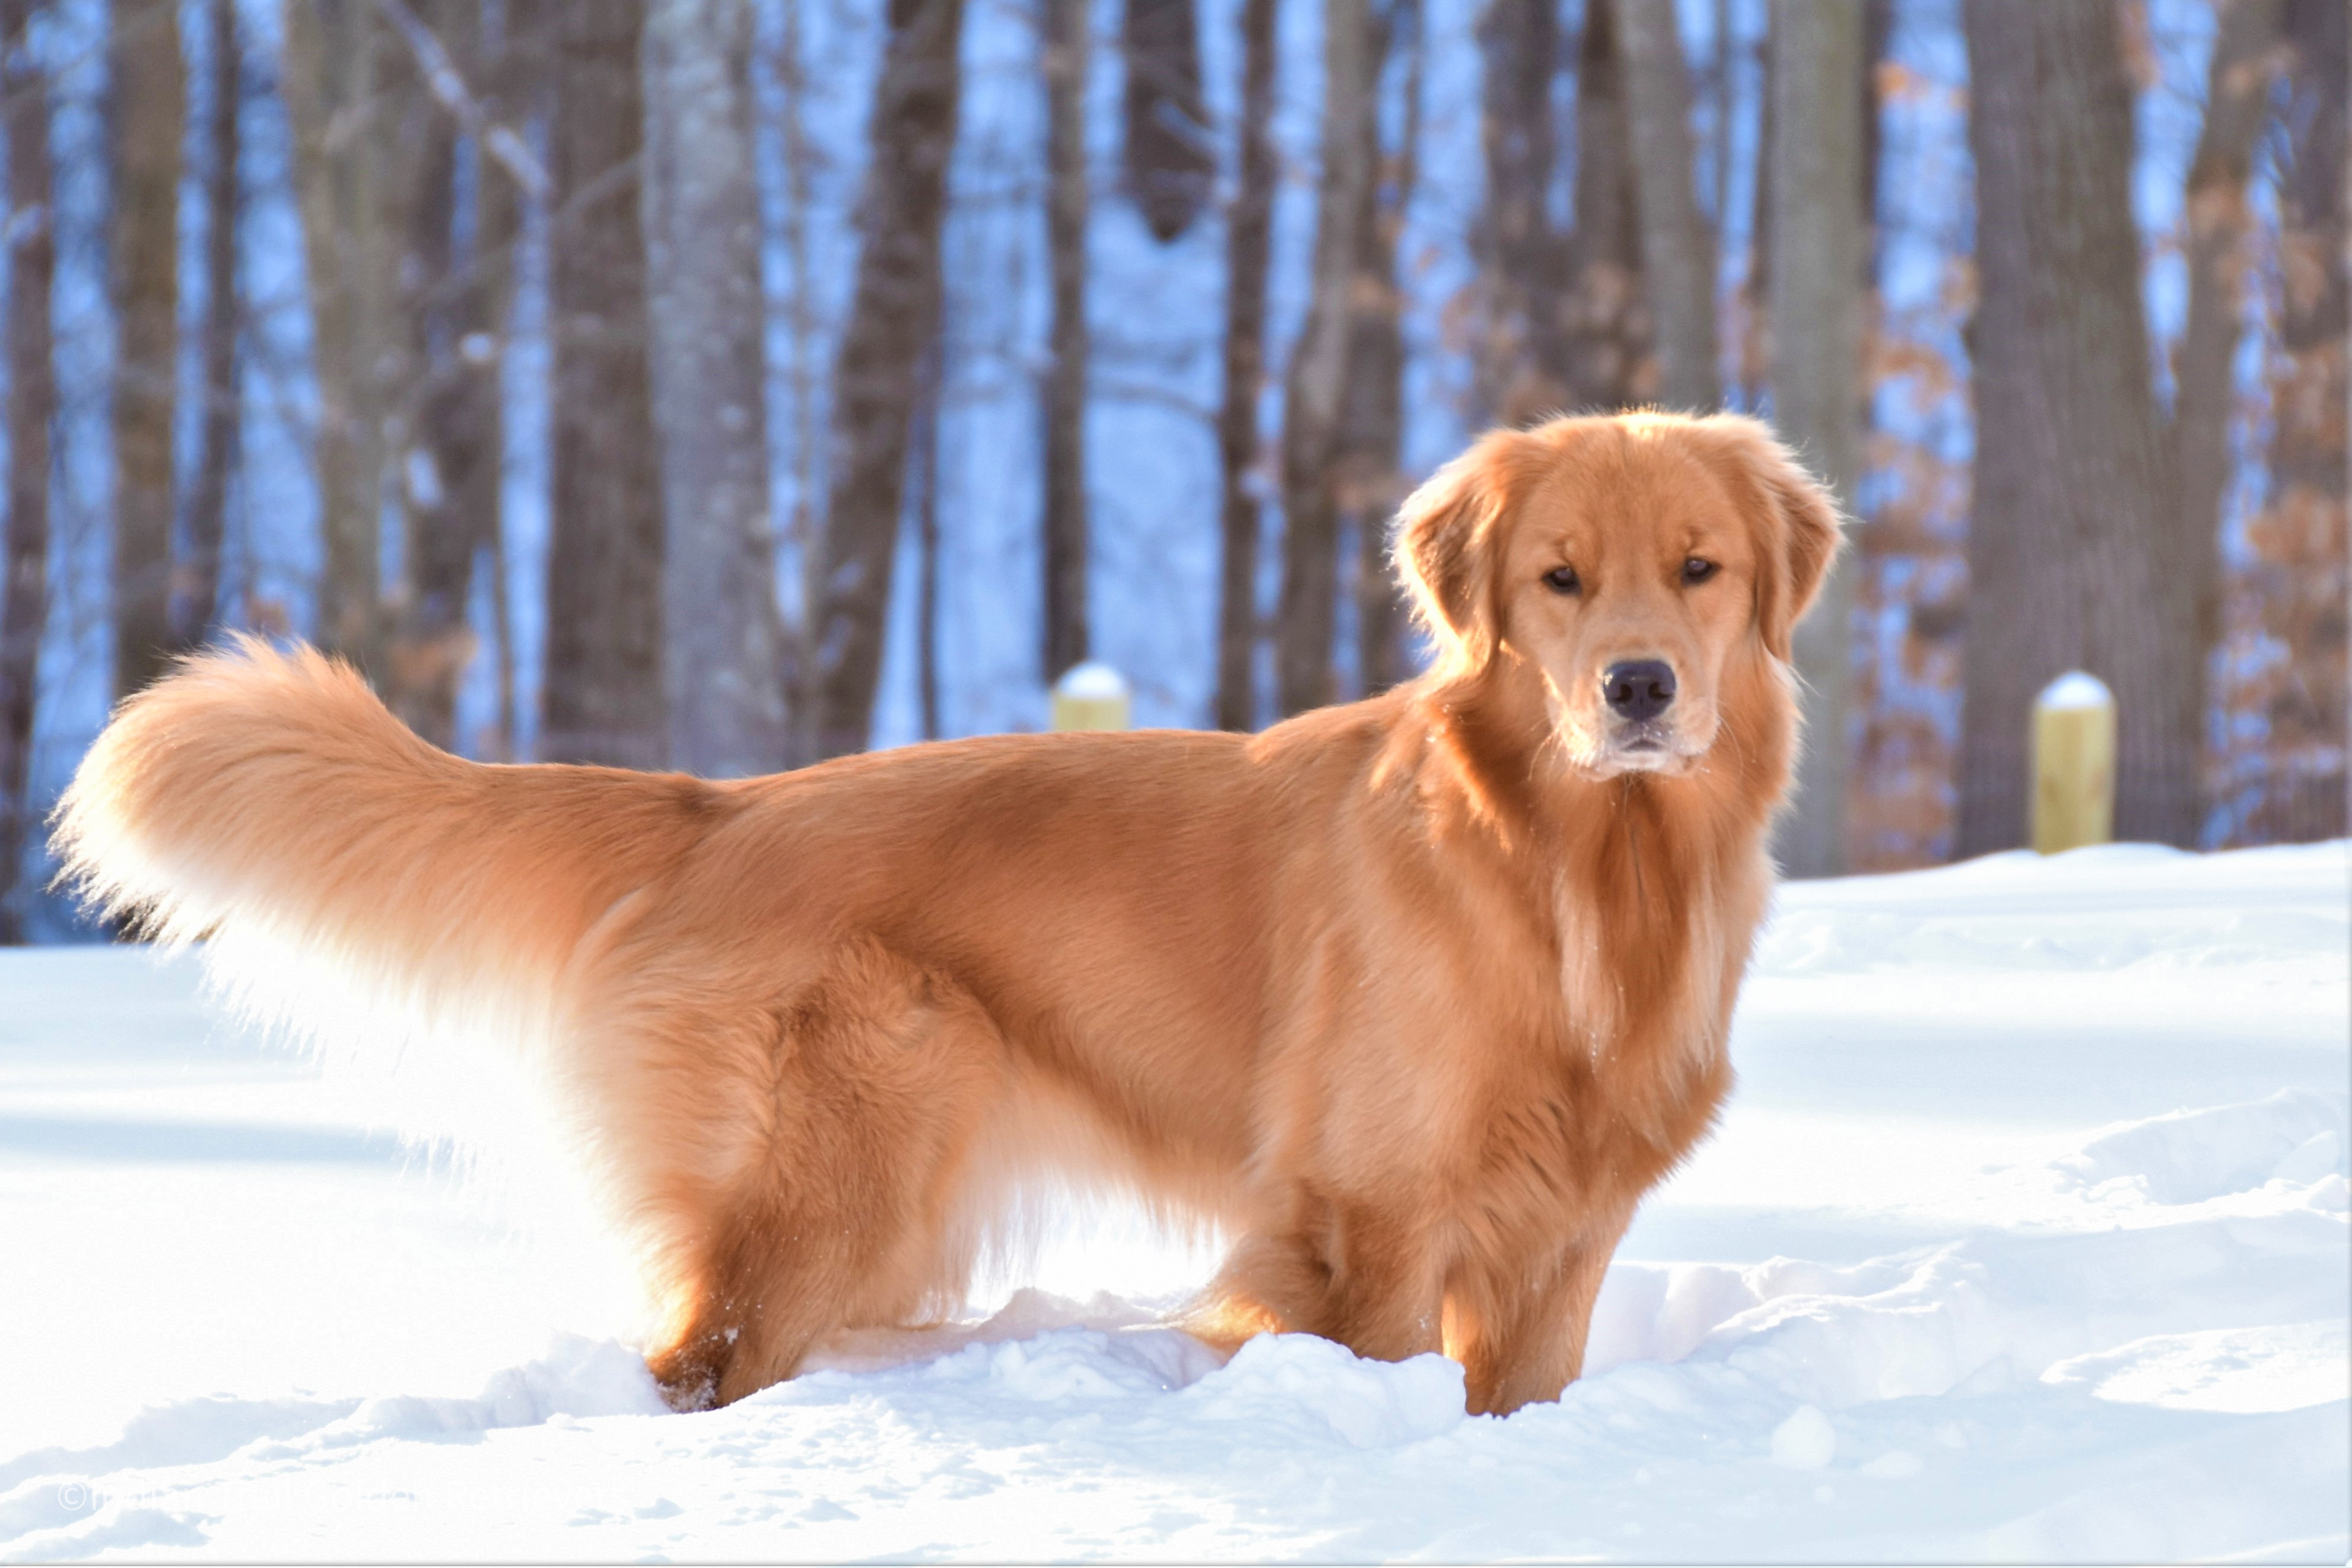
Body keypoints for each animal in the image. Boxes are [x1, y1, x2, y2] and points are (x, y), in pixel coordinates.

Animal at [59, 411, 1834, 1420]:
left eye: (1699, 567)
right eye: (1556, 576)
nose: (1637, 687)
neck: (1573, 877)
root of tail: (716, 807)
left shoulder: (1563, 1232)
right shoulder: (1374, 1211)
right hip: (852, 1158)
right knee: (697, 1365)